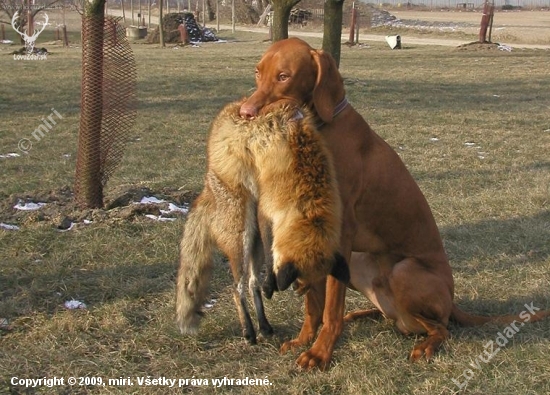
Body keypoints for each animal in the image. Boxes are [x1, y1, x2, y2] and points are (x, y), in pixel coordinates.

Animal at [242, 38, 550, 372]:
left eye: (284, 76)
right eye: (257, 72)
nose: (245, 113)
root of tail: (453, 301)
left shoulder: (341, 234)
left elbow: (330, 308)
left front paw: (320, 353)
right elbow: (314, 304)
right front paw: (303, 340)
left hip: (401, 271)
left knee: (440, 327)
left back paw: (424, 345)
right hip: (361, 263)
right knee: (392, 316)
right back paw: (360, 315)